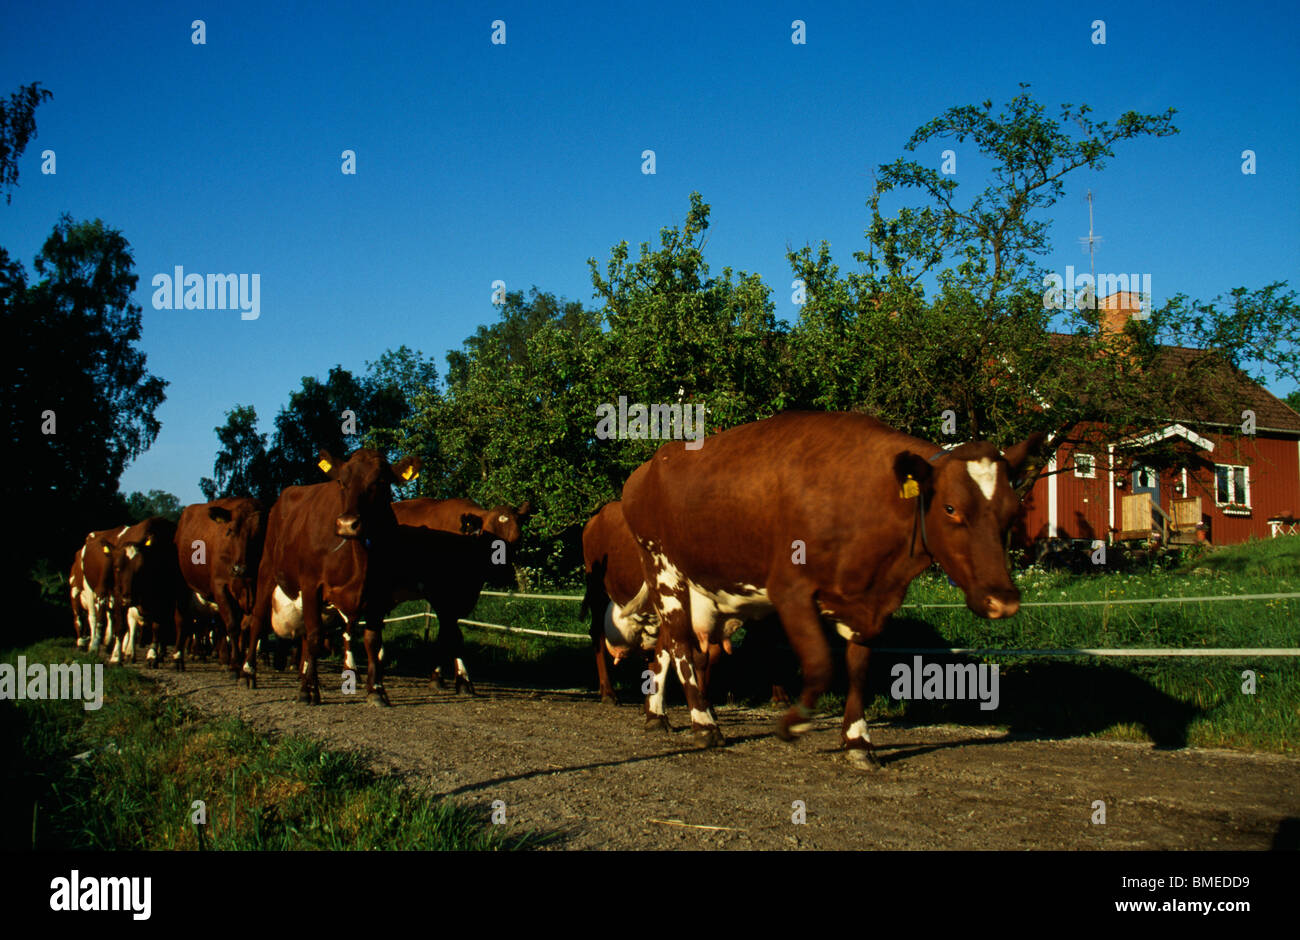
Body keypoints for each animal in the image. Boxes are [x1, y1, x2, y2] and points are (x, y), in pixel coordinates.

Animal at [110, 517, 183, 665]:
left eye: (140, 569)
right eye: (117, 568)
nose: (128, 598)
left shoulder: (163, 601)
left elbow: (157, 627)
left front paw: (152, 654)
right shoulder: (118, 595)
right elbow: (120, 626)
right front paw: (115, 656)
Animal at [175, 496, 266, 670]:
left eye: (259, 535)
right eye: (230, 531)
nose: (239, 569)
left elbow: (248, 627)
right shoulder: (220, 587)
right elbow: (232, 626)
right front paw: (235, 663)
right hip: (182, 586)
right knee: (183, 621)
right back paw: (178, 657)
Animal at [235, 449, 416, 707]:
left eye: (381, 481)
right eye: (342, 481)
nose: (348, 524)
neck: (360, 558)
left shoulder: (378, 593)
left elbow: (372, 640)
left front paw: (376, 690)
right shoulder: (312, 585)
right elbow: (314, 636)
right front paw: (307, 691)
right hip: (267, 571)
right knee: (258, 621)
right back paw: (248, 673)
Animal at [382, 499, 530, 691]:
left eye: (517, 540)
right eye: (488, 541)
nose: (502, 575)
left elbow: (446, 635)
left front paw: (439, 677)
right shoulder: (439, 595)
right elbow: (454, 635)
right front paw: (462, 679)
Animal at [618, 410, 1045, 764]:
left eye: (1012, 510)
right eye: (951, 508)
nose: (1003, 600)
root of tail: (648, 467)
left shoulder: (873, 604)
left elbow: (858, 667)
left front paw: (858, 741)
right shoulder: (790, 588)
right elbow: (822, 663)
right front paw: (793, 722)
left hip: (697, 589)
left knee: (666, 648)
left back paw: (657, 715)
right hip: (663, 569)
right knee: (681, 646)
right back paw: (704, 723)